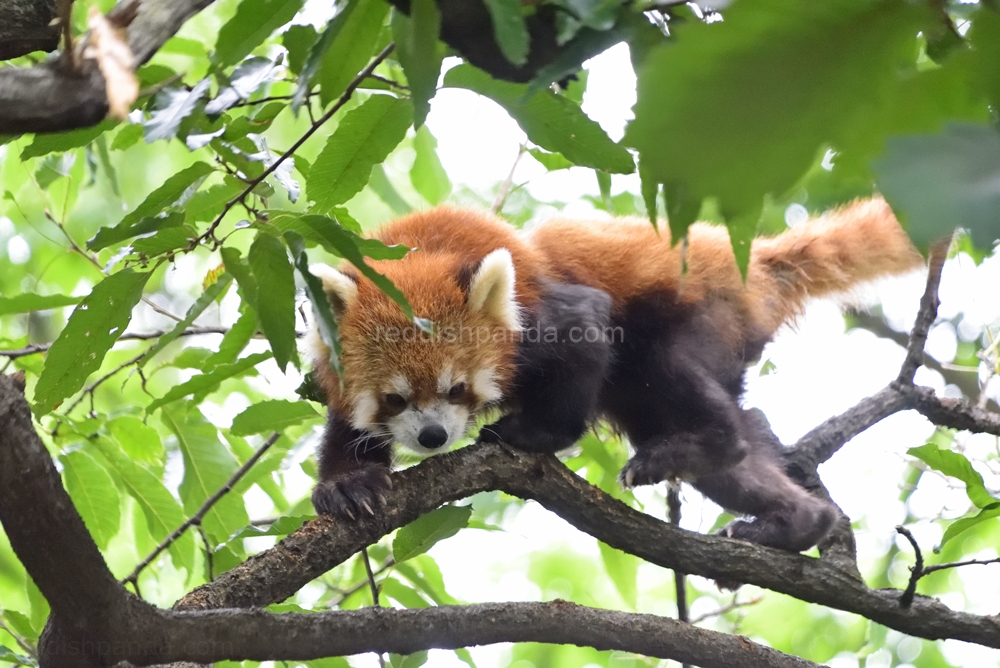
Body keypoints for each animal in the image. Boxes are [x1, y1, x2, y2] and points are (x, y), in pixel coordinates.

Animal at [310, 200, 920, 552]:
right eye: (394, 399)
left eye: (456, 388)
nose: (433, 436)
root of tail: (746, 257)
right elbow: (346, 428)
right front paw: (349, 483)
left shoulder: (542, 309)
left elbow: (583, 334)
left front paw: (533, 433)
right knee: (737, 459)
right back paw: (798, 522)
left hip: (698, 315)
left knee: (674, 377)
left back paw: (707, 445)